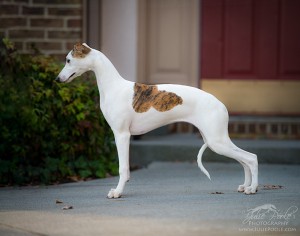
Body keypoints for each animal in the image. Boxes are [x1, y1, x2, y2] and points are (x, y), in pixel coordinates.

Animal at [55, 43, 258, 198]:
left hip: (217, 142)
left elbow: (123, 168)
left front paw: (117, 192)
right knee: (244, 160)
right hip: (217, 140)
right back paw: (245, 186)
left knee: (251, 158)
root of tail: (221, 104)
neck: (113, 86)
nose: (57, 79)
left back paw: (253, 188)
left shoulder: (122, 135)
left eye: (68, 60)